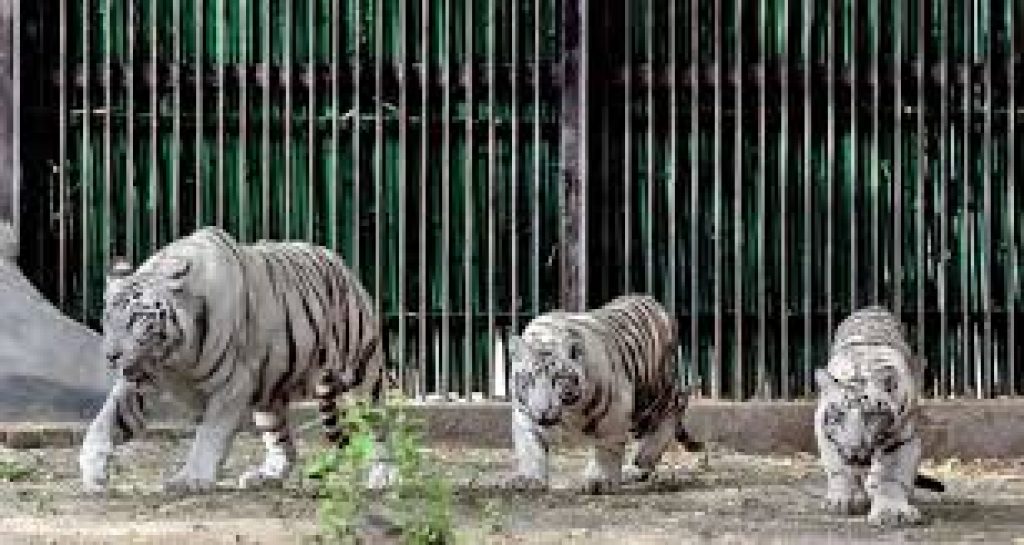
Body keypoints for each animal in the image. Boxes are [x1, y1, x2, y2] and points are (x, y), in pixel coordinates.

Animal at [79, 226, 395, 493]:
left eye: (137, 319)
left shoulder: (232, 383)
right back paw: (266, 476)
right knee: (282, 443)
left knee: (380, 424)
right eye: (107, 318)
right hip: (270, 395)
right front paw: (93, 469)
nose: (111, 356)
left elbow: (209, 435)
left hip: (363, 370)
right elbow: (105, 420)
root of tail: (339, 262)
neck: (172, 357)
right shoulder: (141, 379)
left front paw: (191, 478)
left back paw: (384, 474)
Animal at [505, 294, 699, 494]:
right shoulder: (525, 414)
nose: (543, 410)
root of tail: (651, 300)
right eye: (528, 379)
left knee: (672, 411)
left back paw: (637, 464)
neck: (569, 410)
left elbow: (606, 449)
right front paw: (529, 479)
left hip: (653, 397)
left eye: (558, 378)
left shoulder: (614, 414)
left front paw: (600, 480)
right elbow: (530, 449)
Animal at [816, 306, 944, 526]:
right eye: (839, 414)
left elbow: (891, 474)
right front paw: (842, 500)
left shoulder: (902, 437)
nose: (855, 451)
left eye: (870, 415)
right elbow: (838, 467)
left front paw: (891, 511)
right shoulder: (824, 430)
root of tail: (873, 307)